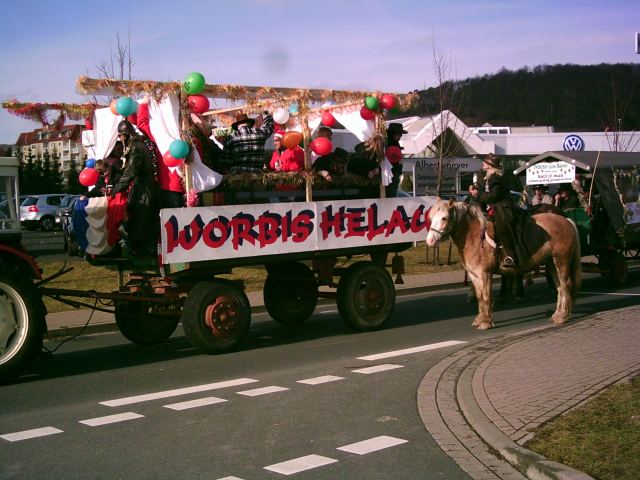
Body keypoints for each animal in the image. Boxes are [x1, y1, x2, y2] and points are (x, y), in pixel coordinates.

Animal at [427, 199, 581, 329]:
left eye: (444, 218)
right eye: (431, 218)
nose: (430, 241)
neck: (474, 236)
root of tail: (567, 221)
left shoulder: (484, 274)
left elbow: (486, 296)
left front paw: (487, 322)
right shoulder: (474, 275)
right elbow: (479, 297)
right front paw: (480, 319)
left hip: (562, 262)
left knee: (566, 285)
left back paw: (563, 317)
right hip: (552, 263)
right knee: (559, 287)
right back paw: (557, 314)